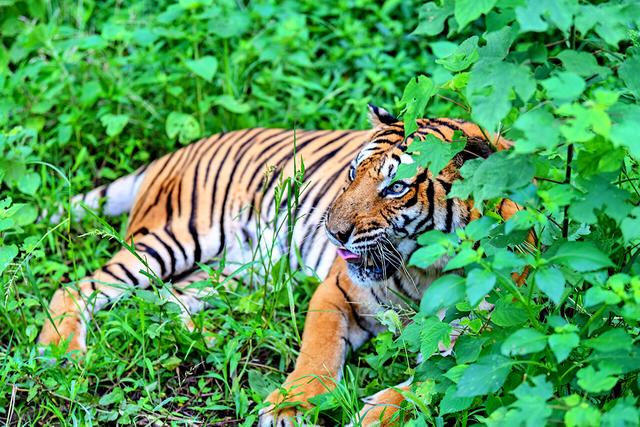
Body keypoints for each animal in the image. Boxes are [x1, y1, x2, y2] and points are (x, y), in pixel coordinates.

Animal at [37, 105, 520, 426]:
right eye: (351, 174)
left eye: (397, 187)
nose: (333, 232)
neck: (427, 272)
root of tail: (176, 152)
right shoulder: (338, 288)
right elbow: (318, 351)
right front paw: (291, 405)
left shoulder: (484, 342)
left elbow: (432, 382)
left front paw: (374, 414)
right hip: (174, 239)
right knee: (77, 288)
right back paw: (60, 350)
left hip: (237, 269)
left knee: (171, 299)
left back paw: (206, 340)